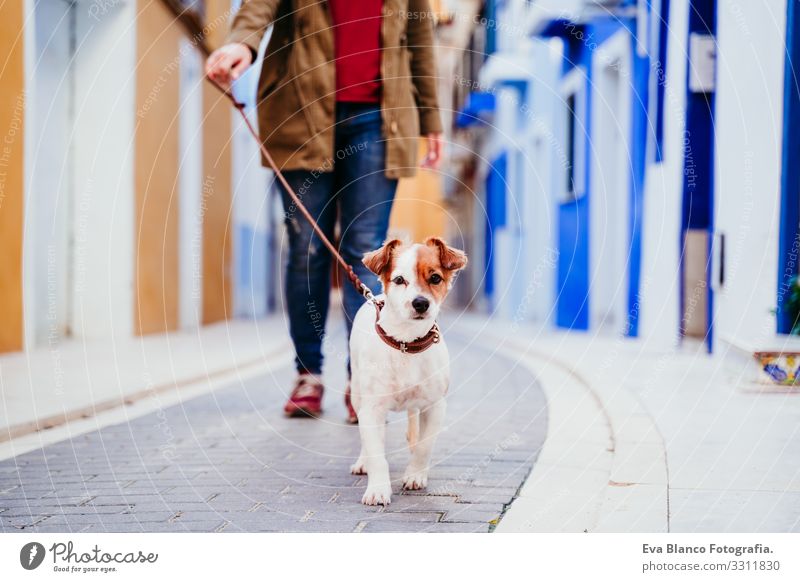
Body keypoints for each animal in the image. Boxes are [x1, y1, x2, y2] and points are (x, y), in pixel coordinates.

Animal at [346, 237, 466, 506]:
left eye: (435, 278)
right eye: (399, 279)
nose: (420, 302)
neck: (406, 342)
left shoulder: (435, 406)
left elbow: (425, 446)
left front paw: (415, 475)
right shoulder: (372, 408)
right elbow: (377, 453)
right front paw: (378, 489)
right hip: (358, 395)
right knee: (366, 438)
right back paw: (362, 462)